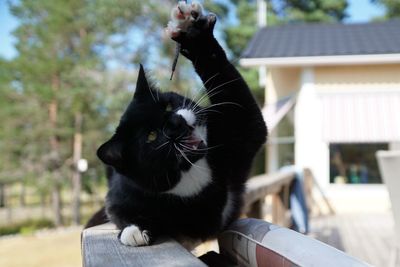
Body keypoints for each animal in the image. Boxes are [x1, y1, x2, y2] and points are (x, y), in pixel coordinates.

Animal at [94, 2, 268, 248]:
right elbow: (118, 211)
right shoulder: (121, 194)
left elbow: (244, 110)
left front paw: (193, 34)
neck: (190, 173)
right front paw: (134, 230)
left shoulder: (238, 132)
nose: (176, 123)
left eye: (167, 105)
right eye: (151, 136)